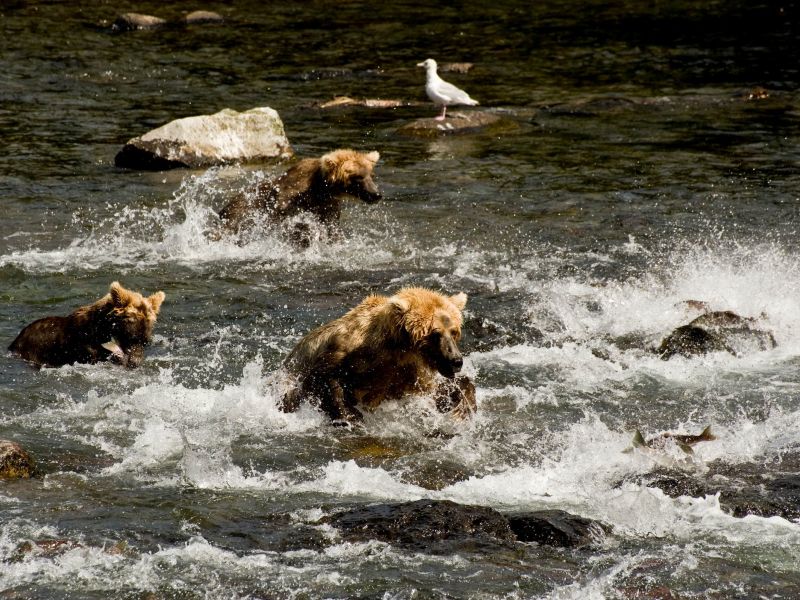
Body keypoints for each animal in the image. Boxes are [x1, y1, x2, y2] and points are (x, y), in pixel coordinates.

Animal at [217, 148, 382, 246]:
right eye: (357, 177)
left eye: (371, 175)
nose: (376, 194)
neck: (320, 189)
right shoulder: (289, 199)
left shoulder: (329, 207)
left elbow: (332, 230)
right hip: (239, 215)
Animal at [280, 288, 476, 424]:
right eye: (435, 334)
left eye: (454, 331)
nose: (456, 361)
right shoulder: (350, 353)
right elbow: (326, 379)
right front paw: (351, 417)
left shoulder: (409, 374)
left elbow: (438, 391)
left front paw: (463, 407)